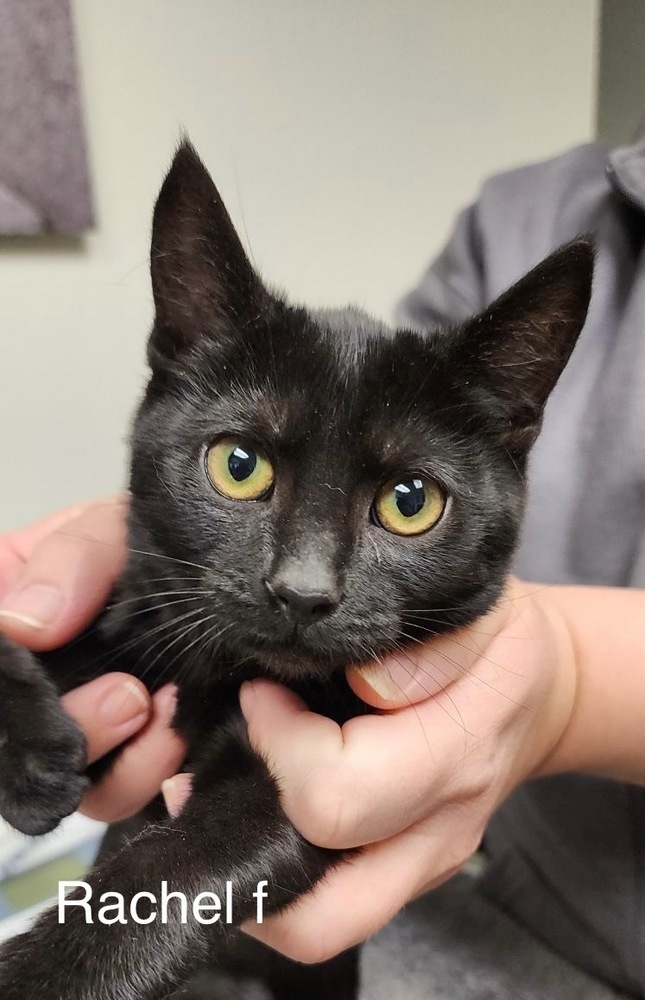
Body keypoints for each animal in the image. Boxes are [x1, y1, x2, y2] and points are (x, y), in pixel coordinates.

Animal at [0, 143, 592, 1000]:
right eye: (238, 464)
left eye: (409, 501)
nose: (302, 592)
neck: (226, 679)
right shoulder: (156, 622)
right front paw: (36, 755)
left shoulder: (309, 789)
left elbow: (166, 872)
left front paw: (48, 974)